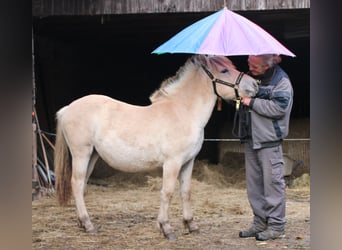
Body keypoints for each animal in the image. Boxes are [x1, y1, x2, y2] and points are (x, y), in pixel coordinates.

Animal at [54, 54, 260, 240]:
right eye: (224, 70)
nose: (255, 85)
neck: (183, 112)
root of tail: (67, 109)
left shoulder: (188, 162)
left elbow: (186, 192)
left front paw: (190, 225)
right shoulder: (172, 163)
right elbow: (167, 192)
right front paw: (166, 228)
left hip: (92, 155)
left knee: (82, 186)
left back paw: (82, 223)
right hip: (82, 153)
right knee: (76, 183)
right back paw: (88, 225)